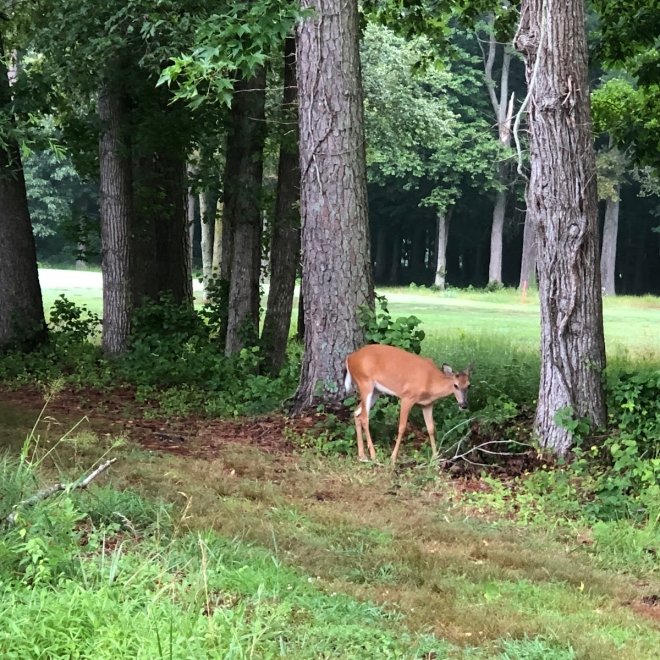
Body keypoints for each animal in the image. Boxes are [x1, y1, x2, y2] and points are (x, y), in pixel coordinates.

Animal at [342, 342, 472, 466]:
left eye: (469, 385)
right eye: (455, 385)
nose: (464, 405)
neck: (430, 382)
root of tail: (350, 358)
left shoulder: (427, 404)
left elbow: (431, 428)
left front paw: (435, 459)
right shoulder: (407, 397)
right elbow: (402, 427)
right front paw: (393, 459)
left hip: (375, 391)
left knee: (357, 413)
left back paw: (362, 456)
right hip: (365, 382)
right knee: (364, 417)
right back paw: (373, 456)